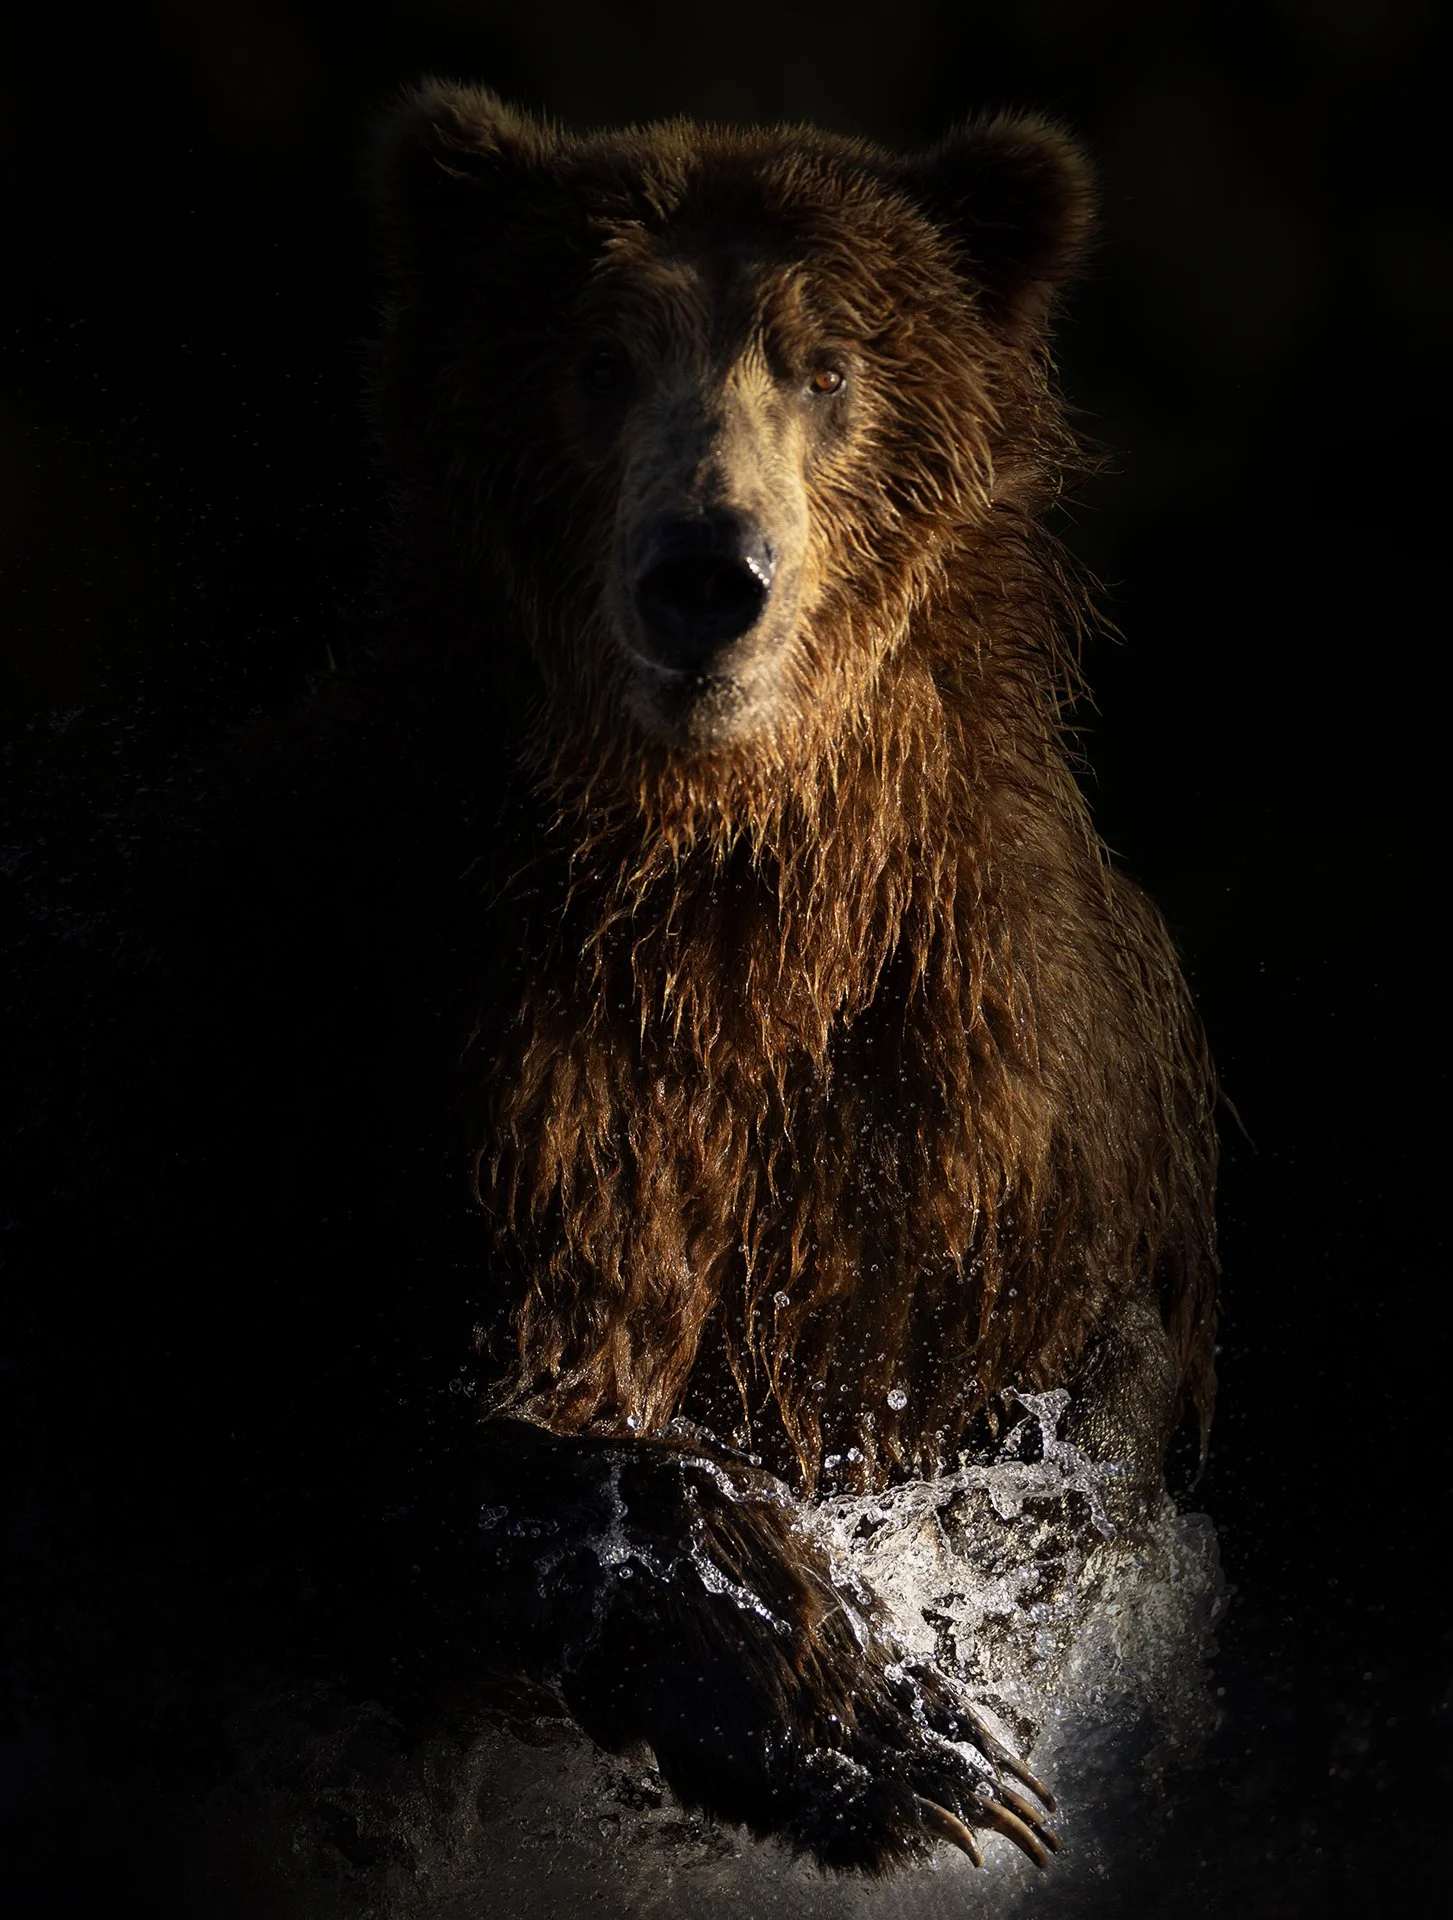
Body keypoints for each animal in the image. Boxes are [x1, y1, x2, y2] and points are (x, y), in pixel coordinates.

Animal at [1, 81, 1218, 1896]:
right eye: (596, 354)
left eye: (825, 361)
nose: (705, 571)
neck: (721, 901)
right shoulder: (370, 1056)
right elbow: (415, 1428)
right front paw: (889, 1740)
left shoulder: (976, 1124)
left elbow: (1029, 1446)